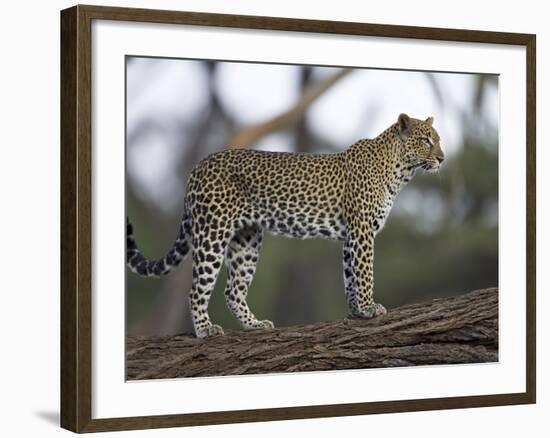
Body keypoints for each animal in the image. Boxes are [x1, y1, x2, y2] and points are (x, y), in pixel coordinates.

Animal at [127, 114, 446, 338]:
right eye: (425, 140)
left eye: (438, 139)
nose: (442, 158)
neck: (400, 170)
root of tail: (198, 166)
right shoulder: (362, 230)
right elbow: (365, 272)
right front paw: (369, 308)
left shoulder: (350, 236)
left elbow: (350, 276)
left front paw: (356, 311)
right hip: (212, 232)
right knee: (197, 289)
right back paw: (205, 329)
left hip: (247, 240)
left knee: (233, 291)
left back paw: (254, 325)